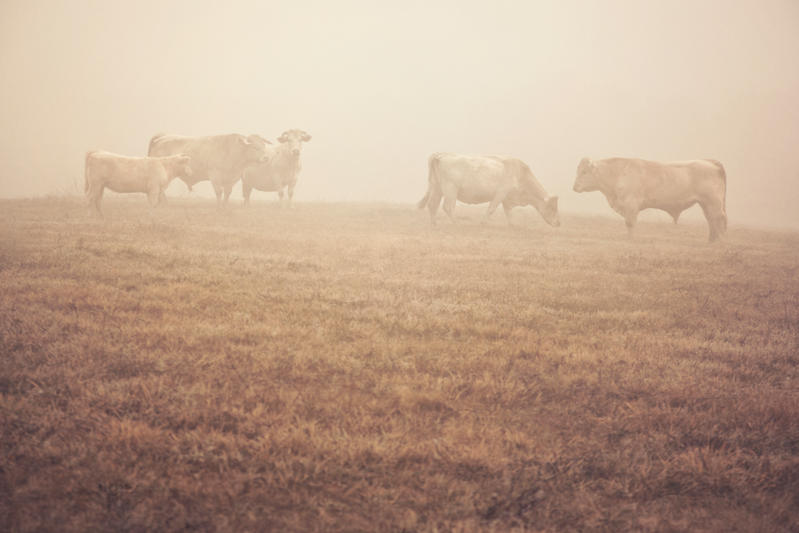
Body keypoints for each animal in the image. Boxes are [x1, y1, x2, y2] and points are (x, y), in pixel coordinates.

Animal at [418, 152, 564, 227]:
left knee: (432, 205)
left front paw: (513, 225)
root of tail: (441, 155)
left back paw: (434, 223)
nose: (558, 223)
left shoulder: (507, 198)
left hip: (436, 188)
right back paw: (456, 223)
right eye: (552, 207)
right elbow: (492, 209)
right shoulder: (501, 193)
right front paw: (483, 223)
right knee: (447, 207)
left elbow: (509, 212)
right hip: (450, 189)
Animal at [572, 157, 728, 242]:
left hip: (713, 203)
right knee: (711, 220)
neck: (618, 173)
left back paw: (720, 242)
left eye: (584, 171)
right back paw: (711, 241)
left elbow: (630, 223)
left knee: (718, 219)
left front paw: (630, 239)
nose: (574, 187)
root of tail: (709, 161)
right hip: (705, 204)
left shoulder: (631, 204)